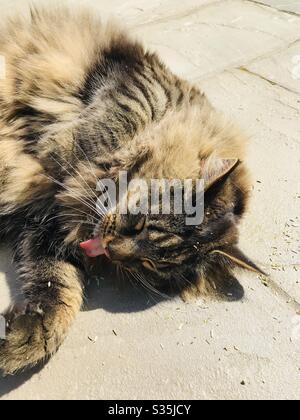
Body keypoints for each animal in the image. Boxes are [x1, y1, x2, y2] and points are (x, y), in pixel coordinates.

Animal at [0, 5, 262, 374]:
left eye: (150, 265)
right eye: (140, 224)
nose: (113, 252)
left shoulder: (42, 229)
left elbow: (60, 289)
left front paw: (27, 338)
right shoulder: (136, 83)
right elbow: (93, 136)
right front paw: (58, 155)